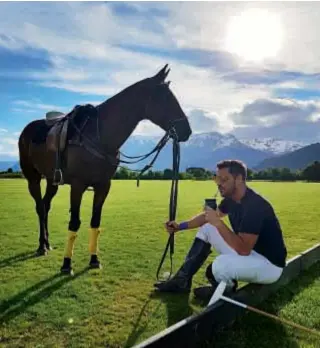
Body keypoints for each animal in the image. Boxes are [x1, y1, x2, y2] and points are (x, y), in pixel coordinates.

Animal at [18, 64, 192, 274]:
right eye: (165, 97)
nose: (186, 131)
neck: (100, 137)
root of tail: (27, 130)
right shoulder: (78, 185)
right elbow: (74, 223)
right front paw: (67, 264)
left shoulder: (103, 185)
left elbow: (95, 221)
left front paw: (94, 259)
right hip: (33, 178)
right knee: (40, 207)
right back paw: (41, 246)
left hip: (52, 180)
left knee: (45, 205)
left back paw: (47, 243)